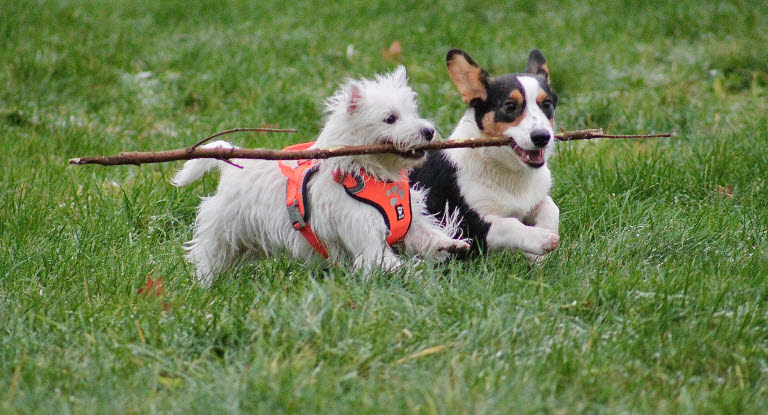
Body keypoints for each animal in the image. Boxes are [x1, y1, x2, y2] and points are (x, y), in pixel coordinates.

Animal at [172, 68, 468, 288]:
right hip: (224, 228)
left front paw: (451, 244)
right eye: (390, 118)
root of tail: (233, 166)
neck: (374, 174)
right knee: (208, 254)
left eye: (413, 112)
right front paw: (417, 276)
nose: (428, 131)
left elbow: (426, 236)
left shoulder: (410, 225)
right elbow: (386, 262)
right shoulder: (365, 234)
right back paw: (204, 285)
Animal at [412, 49, 560, 260]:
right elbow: (509, 224)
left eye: (546, 104)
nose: (542, 137)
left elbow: (551, 207)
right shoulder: (469, 226)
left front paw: (538, 254)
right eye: (510, 106)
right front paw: (542, 239)